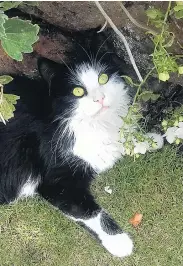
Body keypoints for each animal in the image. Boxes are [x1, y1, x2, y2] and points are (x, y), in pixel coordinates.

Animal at [0, 38, 163, 258]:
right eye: (78, 91)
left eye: (103, 78)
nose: (100, 99)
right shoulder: (56, 180)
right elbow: (89, 212)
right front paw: (119, 241)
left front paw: (151, 139)